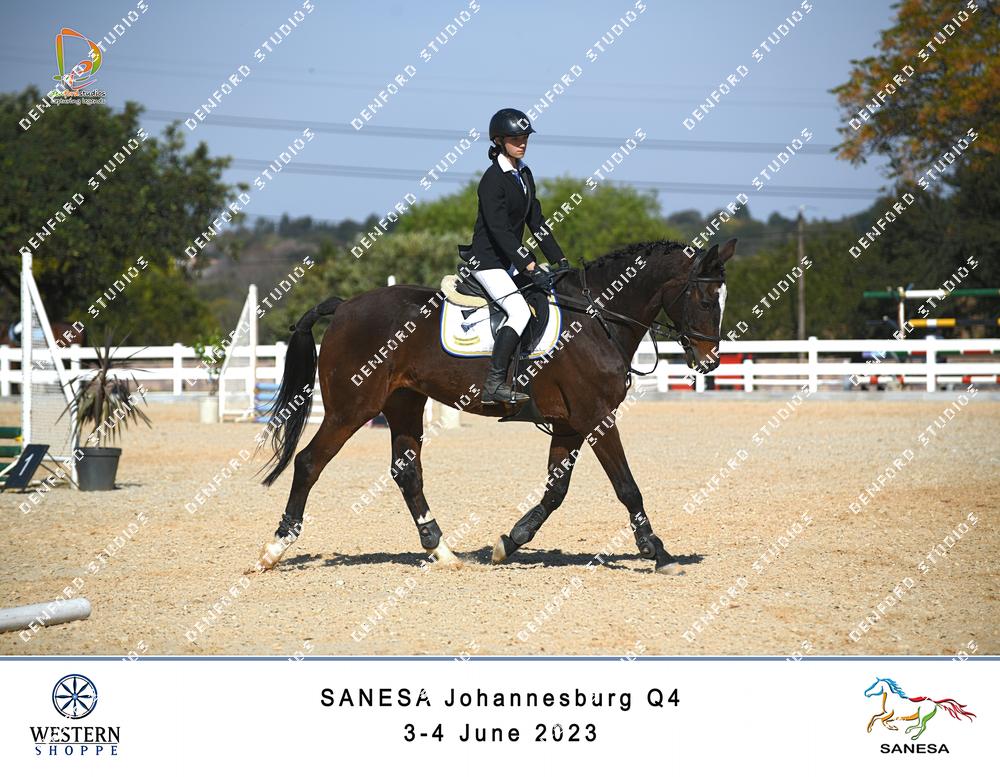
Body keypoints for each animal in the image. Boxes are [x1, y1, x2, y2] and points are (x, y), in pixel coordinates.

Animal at [253, 238, 737, 575]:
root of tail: (344, 306)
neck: (597, 318)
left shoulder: (569, 425)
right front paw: (659, 552)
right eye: (704, 298)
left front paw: (509, 542)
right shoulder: (597, 418)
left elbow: (556, 491)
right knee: (309, 462)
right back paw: (273, 550)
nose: (710, 361)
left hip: (403, 404)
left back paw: (444, 552)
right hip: (351, 409)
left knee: (406, 473)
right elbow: (627, 487)